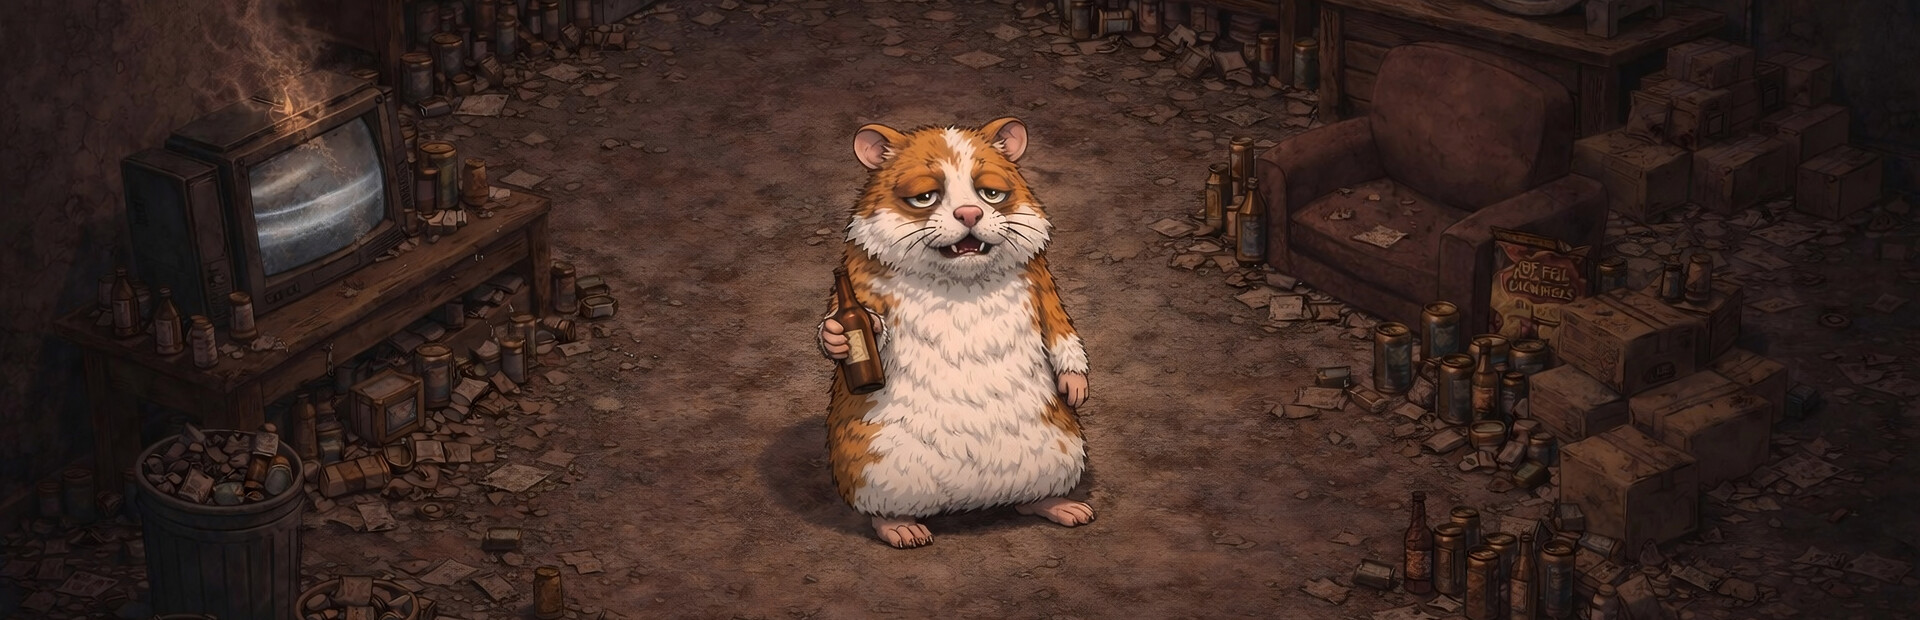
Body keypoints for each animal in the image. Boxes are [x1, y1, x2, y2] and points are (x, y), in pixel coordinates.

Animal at [816, 117, 1093, 549]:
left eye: (991, 192)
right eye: (925, 197)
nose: (969, 213)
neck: (961, 279)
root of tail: (971, 500)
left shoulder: (1040, 280)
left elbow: (1061, 329)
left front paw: (1075, 386)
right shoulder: (861, 285)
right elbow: (864, 326)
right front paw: (836, 337)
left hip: (1060, 447)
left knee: (1033, 495)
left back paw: (1059, 505)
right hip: (873, 467)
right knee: (883, 505)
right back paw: (901, 527)